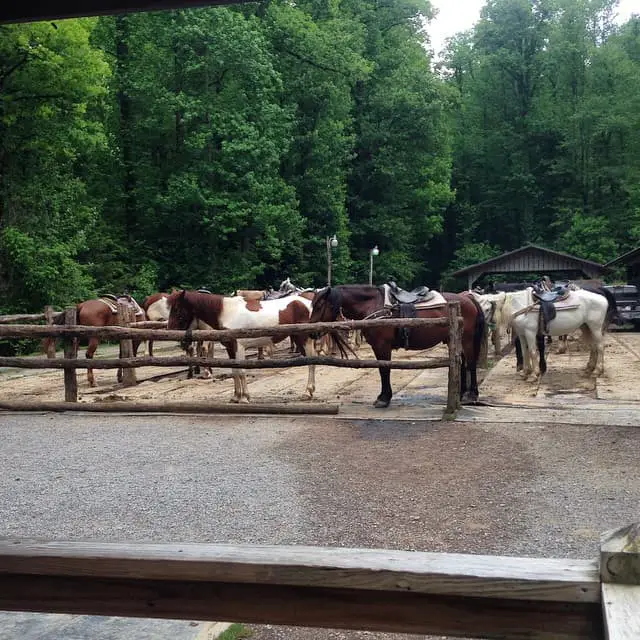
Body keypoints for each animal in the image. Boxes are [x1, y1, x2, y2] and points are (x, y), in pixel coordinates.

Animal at [165, 288, 316, 402]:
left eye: (177, 309)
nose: (169, 330)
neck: (226, 313)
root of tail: (308, 303)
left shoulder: (239, 347)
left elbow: (242, 371)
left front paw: (245, 398)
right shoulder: (230, 348)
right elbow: (235, 372)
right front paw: (236, 397)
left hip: (304, 339)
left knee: (311, 363)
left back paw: (307, 392)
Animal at [310, 286, 484, 408]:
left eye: (319, 305)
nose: (312, 332)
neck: (374, 306)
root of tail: (467, 298)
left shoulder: (382, 346)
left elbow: (384, 370)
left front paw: (383, 399)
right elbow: (383, 370)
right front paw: (384, 397)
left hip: (467, 340)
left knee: (471, 364)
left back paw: (471, 395)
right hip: (455, 341)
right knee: (461, 364)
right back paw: (460, 394)